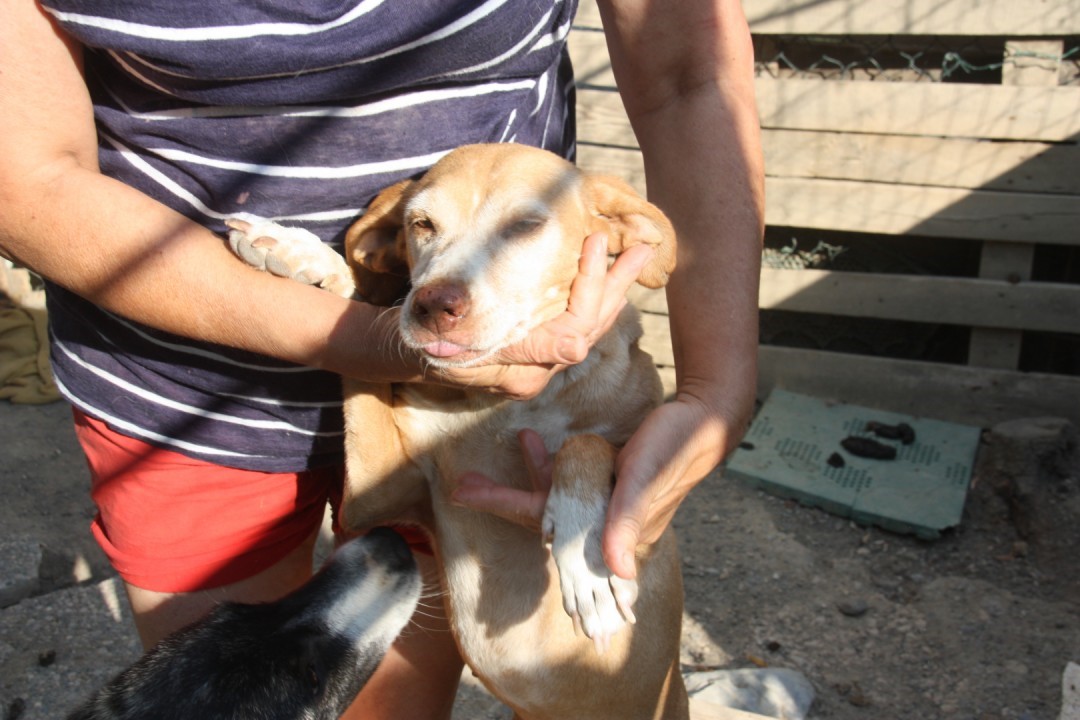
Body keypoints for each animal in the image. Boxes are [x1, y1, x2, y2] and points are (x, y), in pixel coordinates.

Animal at [227, 143, 688, 720]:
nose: (432, 305)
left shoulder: (645, 508)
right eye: (421, 224)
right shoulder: (373, 498)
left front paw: (586, 558)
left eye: (525, 225)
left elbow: (588, 441)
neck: (498, 408)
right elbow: (361, 314)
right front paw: (299, 251)